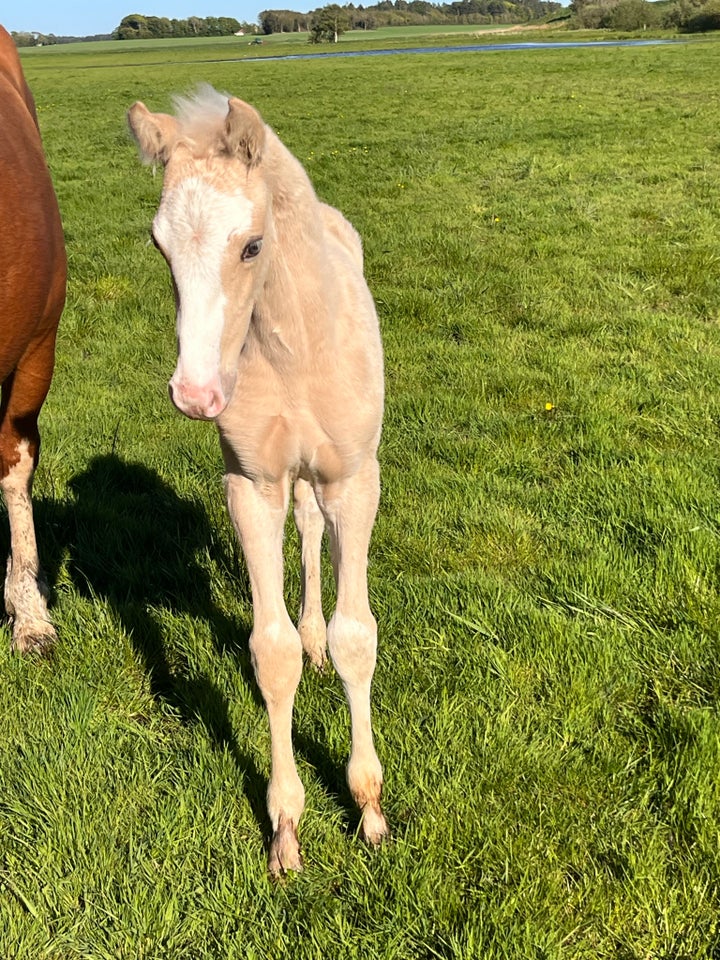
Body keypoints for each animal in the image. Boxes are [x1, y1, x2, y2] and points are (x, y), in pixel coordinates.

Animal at [128, 86, 388, 872]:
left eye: (251, 245)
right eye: (160, 245)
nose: (195, 395)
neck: (292, 347)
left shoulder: (355, 482)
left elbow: (357, 638)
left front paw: (368, 807)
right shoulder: (251, 486)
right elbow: (271, 654)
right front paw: (286, 828)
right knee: (302, 531)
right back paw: (308, 634)